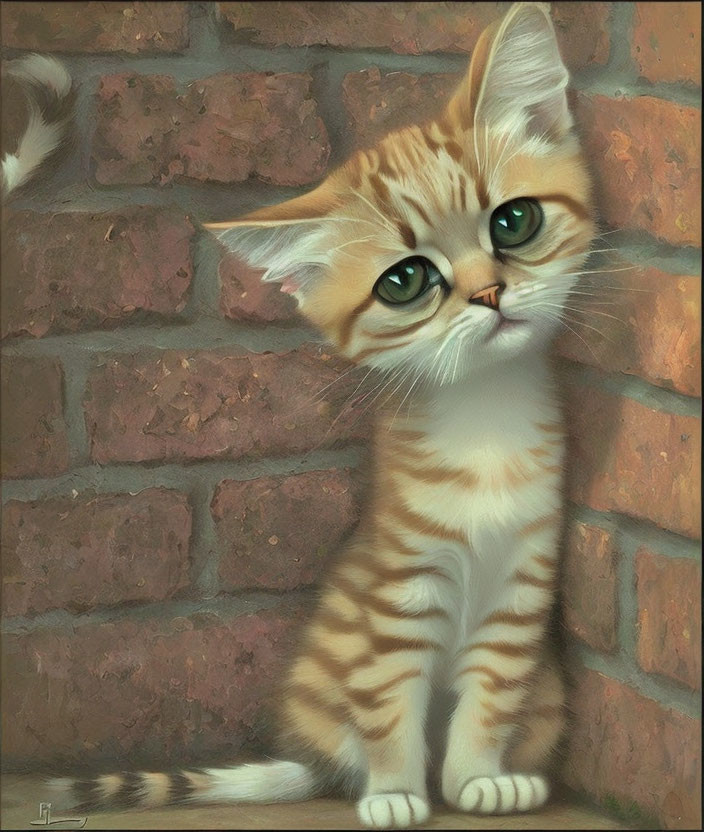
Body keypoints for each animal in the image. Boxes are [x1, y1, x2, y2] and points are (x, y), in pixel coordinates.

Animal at [52, 3, 596, 828]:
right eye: (406, 281)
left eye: (514, 223)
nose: (488, 294)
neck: (484, 418)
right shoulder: (397, 594)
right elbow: (391, 706)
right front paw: (398, 792)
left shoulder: (520, 590)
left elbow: (490, 698)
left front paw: (477, 777)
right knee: (340, 752)